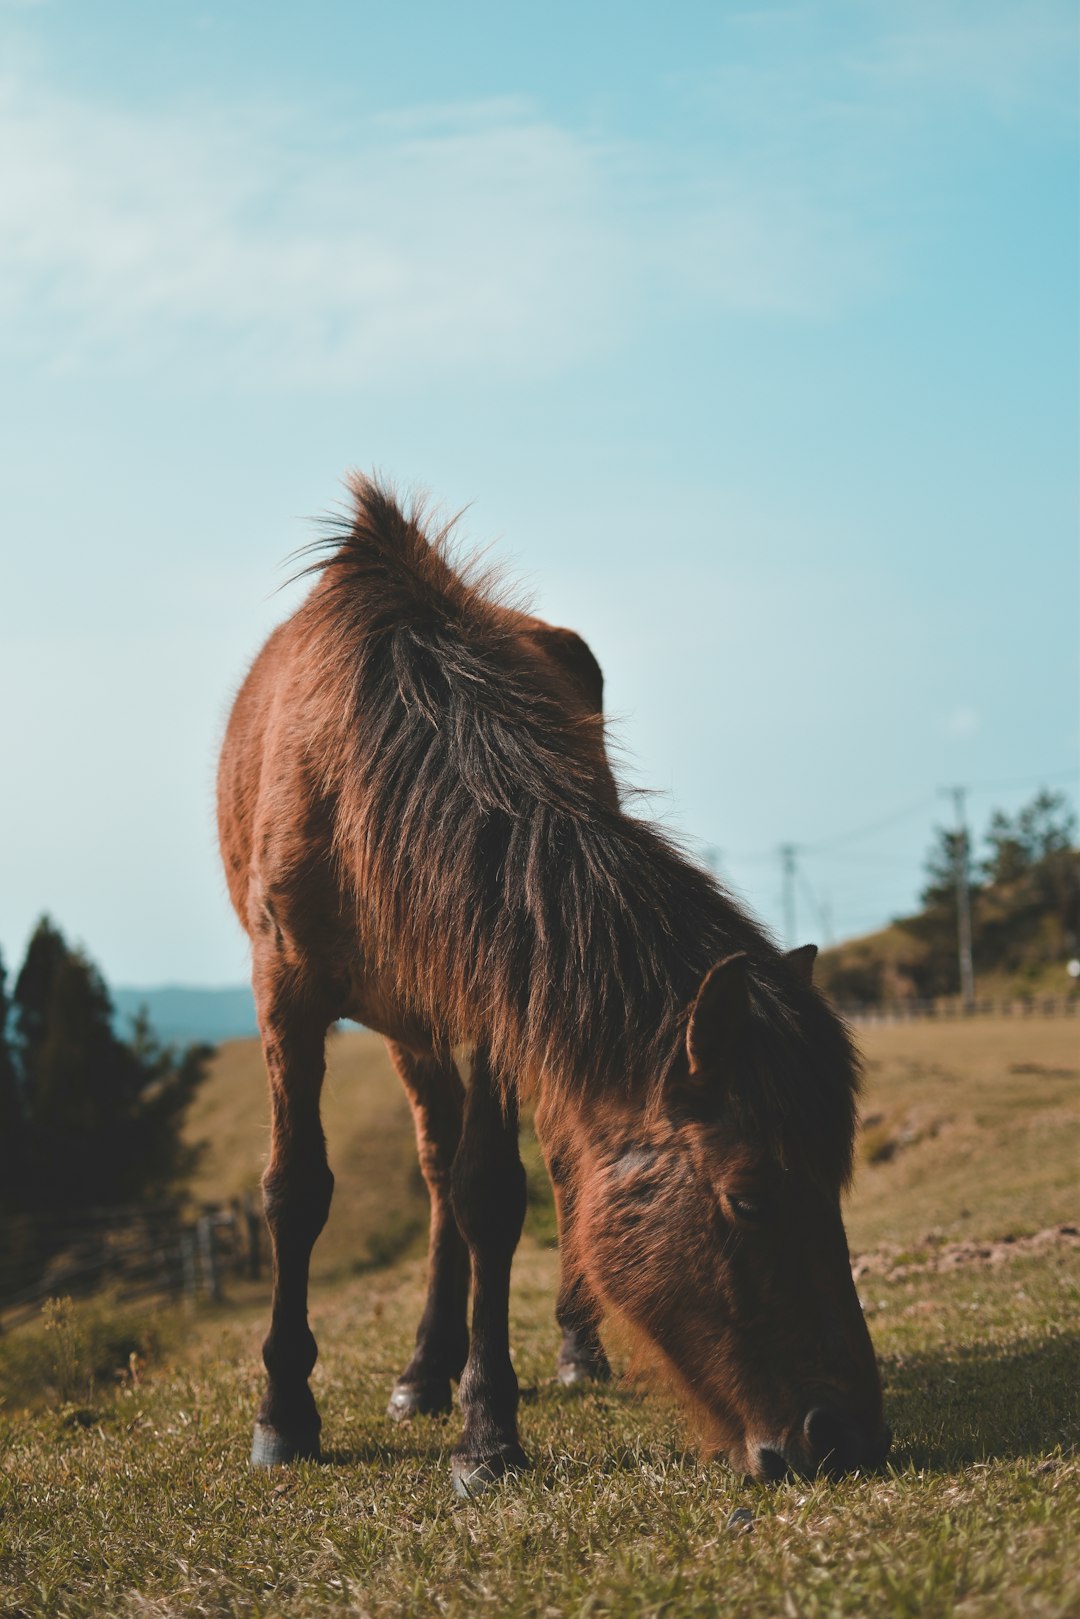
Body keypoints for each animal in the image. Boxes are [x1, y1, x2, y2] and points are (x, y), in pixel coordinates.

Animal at [215, 479, 893, 1489]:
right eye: (749, 1197)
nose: (846, 1433)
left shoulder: (497, 1005)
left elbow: (493, 1193)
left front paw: (488, 1427)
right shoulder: (286, 986)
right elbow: (296, 1191)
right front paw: (286, 1411)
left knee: (542, 1166)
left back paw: (567, 1348)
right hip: (406, 1023)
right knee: (432, 1163)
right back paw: (423, 1370)